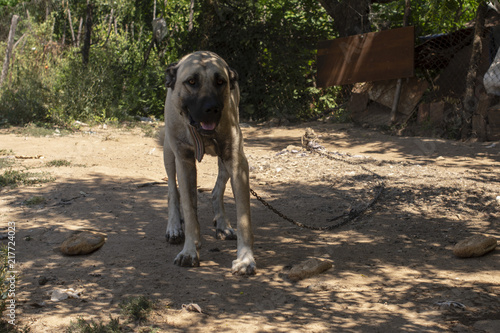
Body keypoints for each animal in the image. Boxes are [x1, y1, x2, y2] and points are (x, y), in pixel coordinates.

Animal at [162, 50, 256, 274]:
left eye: (220, 81)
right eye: (192, 81)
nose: (211, 108)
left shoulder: (237, 162)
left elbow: (244, 218)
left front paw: (245, 259)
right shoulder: (184, 162)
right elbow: (188, 208)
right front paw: (189, 250)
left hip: (226, 161)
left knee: (216, 191)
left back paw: (222, 224)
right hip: (168, 152)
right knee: (173, 191)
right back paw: (175, 227)